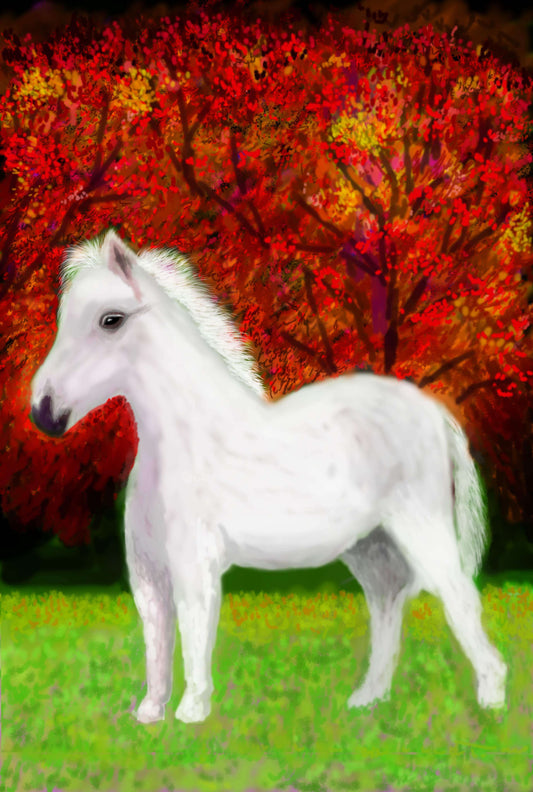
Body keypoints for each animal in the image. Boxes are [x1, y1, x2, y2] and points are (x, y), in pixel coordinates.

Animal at [30, 229, 507, 723]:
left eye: (111, 320)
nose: (44, 412)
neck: (187, 439)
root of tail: (433, 411)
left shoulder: (194, 567)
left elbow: (195, 632)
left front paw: (191, 714)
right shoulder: (148, 576)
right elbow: (157, 642)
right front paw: (149, 714)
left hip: (423, 531)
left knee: (460, 600)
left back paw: (491, 701)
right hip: (370, 549)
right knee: (387, 603)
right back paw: (367, 700)